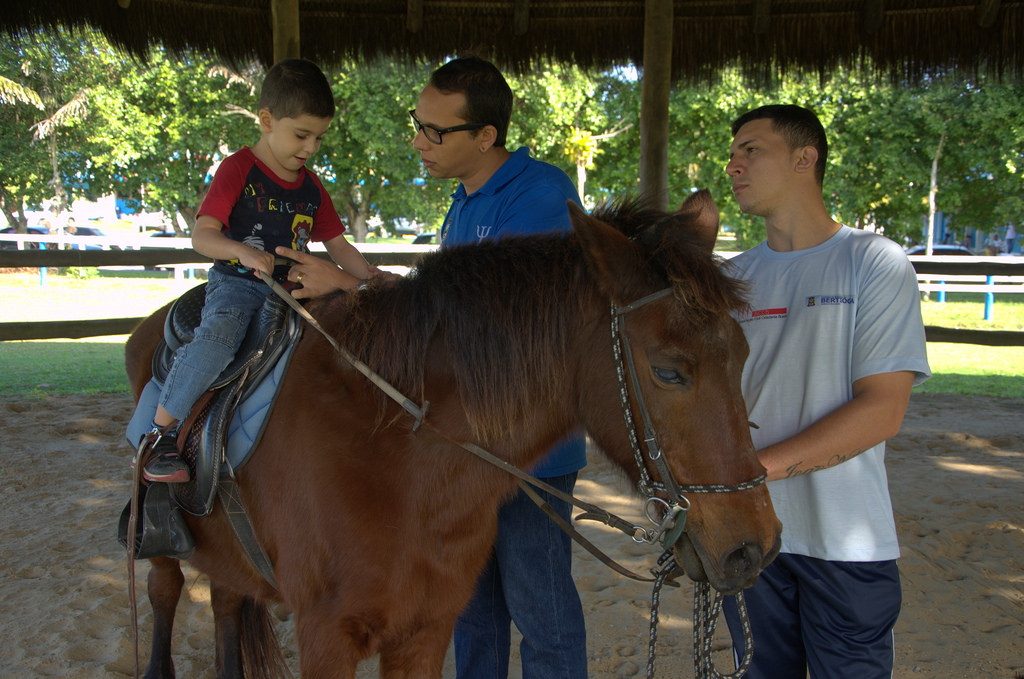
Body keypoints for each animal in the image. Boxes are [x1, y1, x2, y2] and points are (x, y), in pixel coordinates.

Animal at [121, 189, 774, 679]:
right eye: (669, 371)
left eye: (742, 354)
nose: (756, 548)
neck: (403, 460)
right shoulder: (326, 636)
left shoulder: (425, 632)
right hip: (159, 539)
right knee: (164, 589)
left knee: (227, 598)